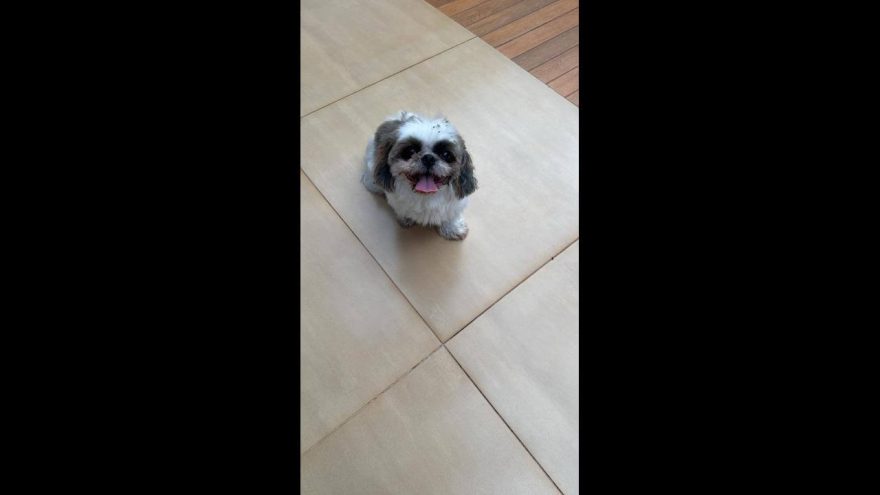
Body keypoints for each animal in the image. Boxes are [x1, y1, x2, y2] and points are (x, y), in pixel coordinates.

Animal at [361, 111, 477, 240]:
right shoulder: (397, 203)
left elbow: (450, 216)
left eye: (446, 154)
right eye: (410, 151)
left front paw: (452, 228)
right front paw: (406, 219)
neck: (426, 197)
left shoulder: (454, 205)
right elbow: (403, 211)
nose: (428, 158)